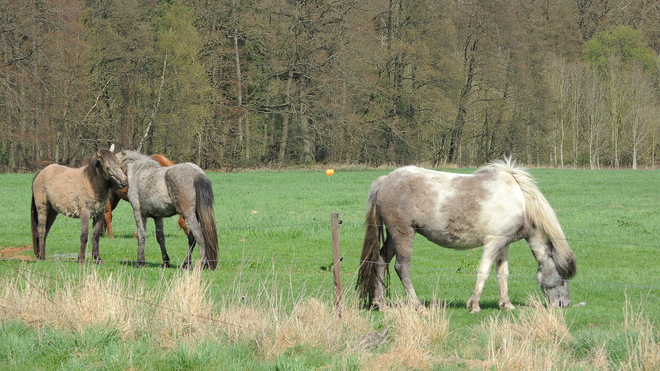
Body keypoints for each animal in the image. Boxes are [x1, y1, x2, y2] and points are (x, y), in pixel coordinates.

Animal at [356, 160, 576, 314]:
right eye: (563, 279)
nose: (564, 304)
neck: (521, 201)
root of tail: (385, 180)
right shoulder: (493, 243)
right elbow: (484, 272)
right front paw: (474, 305)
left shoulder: (503, 244)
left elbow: (502, 274)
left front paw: (506, 304)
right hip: (403, 233)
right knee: (402, 268)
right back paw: (418, 306)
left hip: (393, 237)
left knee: (380, 261)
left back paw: (381, 304)